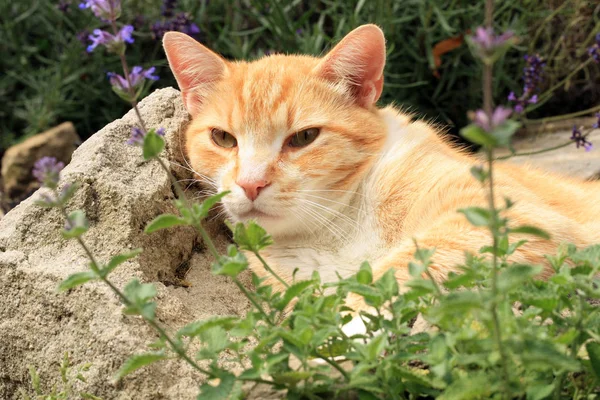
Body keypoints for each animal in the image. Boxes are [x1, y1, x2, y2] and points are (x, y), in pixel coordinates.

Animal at [162, 25, 596, 310]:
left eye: (304, 138)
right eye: (223, 138)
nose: (251, 184)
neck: (337, 230)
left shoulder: (502, 218)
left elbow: (390, 277)